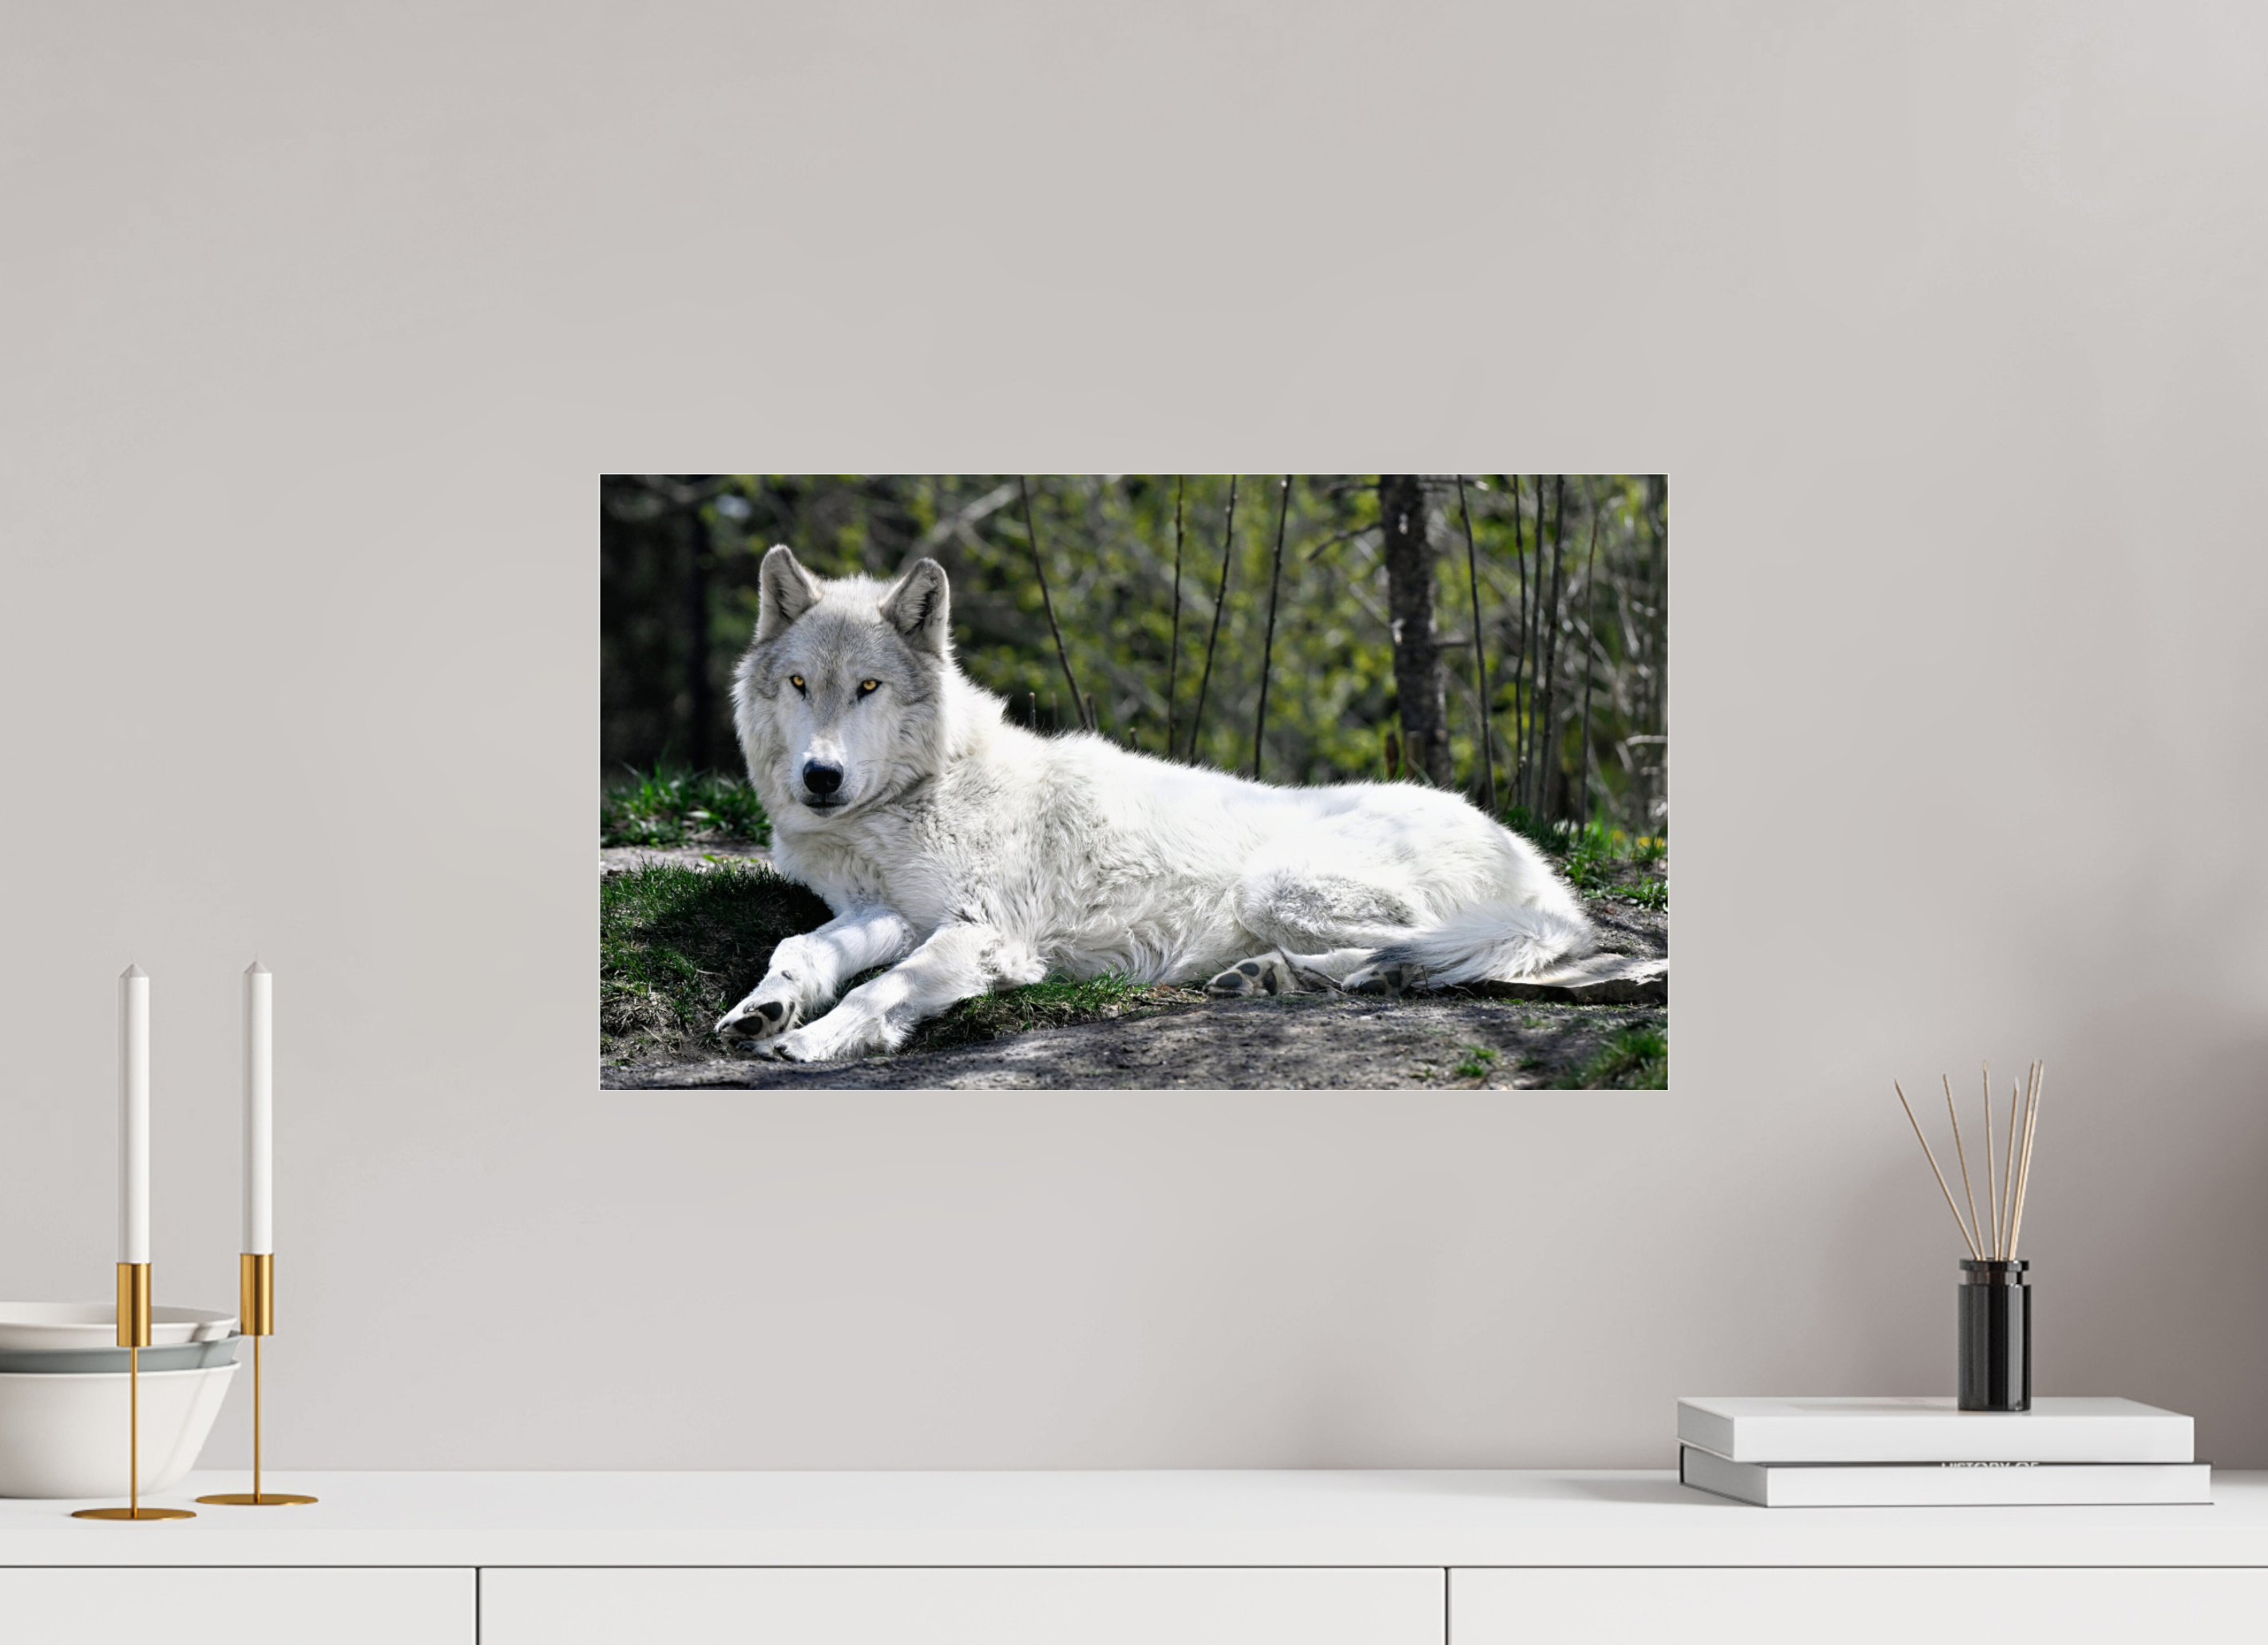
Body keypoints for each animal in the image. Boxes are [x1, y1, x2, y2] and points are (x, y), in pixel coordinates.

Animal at [713, 545, 1600, 1061]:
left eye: (868, 687)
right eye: (800, 684)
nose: (819, 777)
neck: (917, 796)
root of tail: (1538, 867)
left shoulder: (987, 933)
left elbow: (878, 988)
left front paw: (817, 1037)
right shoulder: (890, 911)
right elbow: (802, 946)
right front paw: (764, 1007)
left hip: (1278, 886)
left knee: (1441, 948)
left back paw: (1324, 975)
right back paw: (1270, 977)